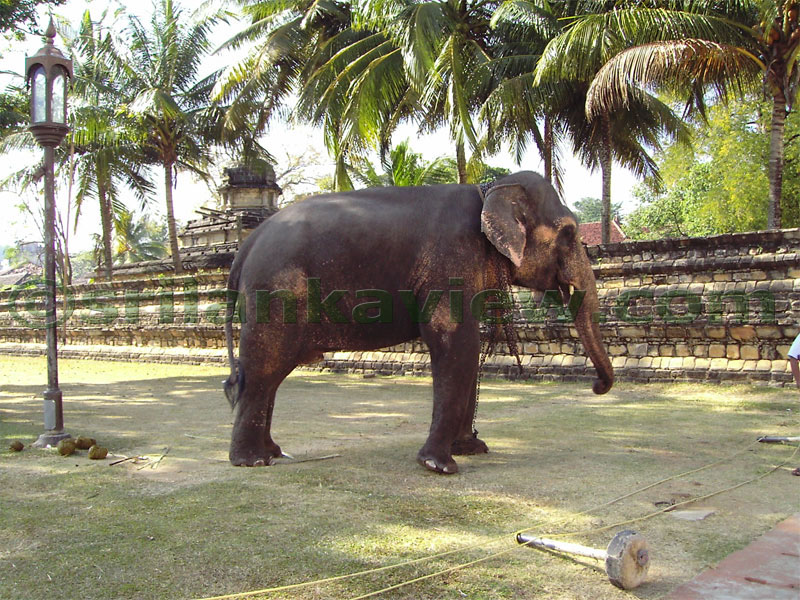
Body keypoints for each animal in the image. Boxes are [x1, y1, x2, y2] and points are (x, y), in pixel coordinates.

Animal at [223, 170, 613, 474]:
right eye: (568, 232)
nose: (596, 386)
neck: (489, 188)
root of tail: (247, 244)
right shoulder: (451, 261)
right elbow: (456, 342)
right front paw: (440, 466)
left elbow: (468, 351)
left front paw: (472, 449)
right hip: (276, 291)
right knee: (265, 366)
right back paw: (252, 461)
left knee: (270, 372)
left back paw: (272, 453)